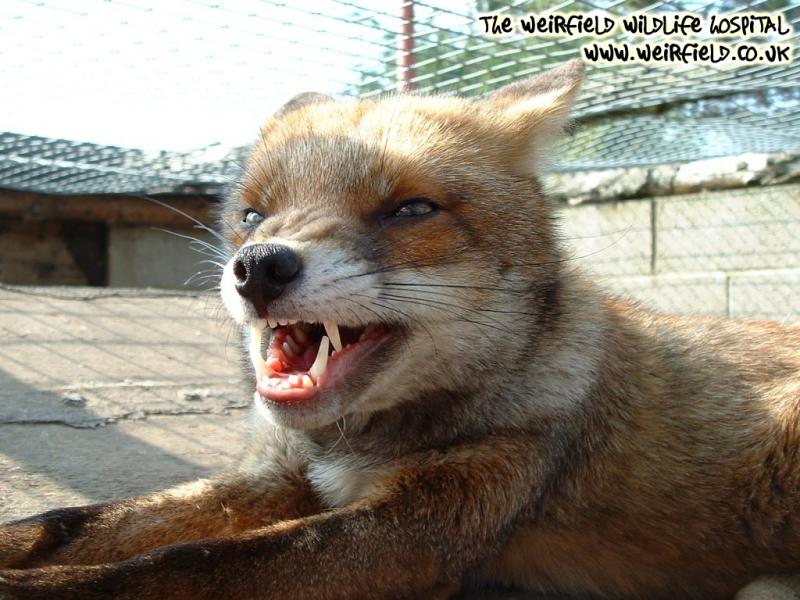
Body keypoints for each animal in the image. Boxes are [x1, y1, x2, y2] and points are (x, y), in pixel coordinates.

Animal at [1, 59, 800, 599]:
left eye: (411, 210)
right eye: (253, 215)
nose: (257, 267)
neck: (352, 444)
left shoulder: (422, 528)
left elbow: (171, 566)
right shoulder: (275, 478)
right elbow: (67, 523)